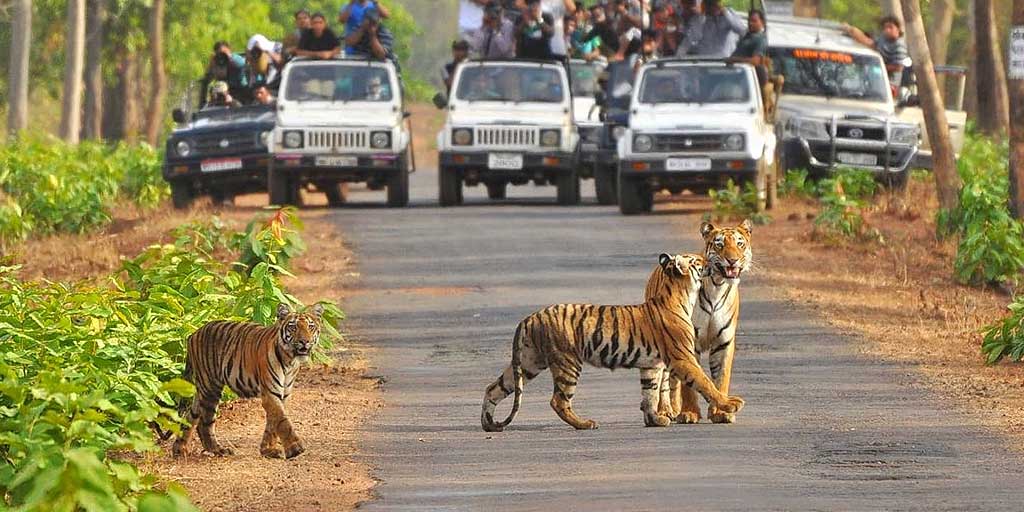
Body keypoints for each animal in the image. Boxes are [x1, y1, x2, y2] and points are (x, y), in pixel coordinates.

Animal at [171, 301, 323, 458]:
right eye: (293, 327)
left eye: (310, 327)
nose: (304, 341)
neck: (290, 361)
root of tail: (193, 334)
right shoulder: (270, 393)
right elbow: (282, 420)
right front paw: (295, 448)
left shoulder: (283, 394)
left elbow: (272, 422)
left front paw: (268, 449)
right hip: (210, 387)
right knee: (204, 422)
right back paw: (218, 449)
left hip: (203, 389)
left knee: (191, 416)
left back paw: (180, 449)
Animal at [479, 253, 745, 430]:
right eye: (698, 261)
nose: (712, 261)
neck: (681, 295)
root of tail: (529, 317)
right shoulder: (683, 358)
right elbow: (705, 382)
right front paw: (730, 404)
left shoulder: (652, 365)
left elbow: (650, 393)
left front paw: (654, 420)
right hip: (567, 362)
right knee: (558, 400)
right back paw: (585, 423)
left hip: (528, 362)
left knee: (493, 388)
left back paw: (488, 424)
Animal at [647, 220, 753, 423]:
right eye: (719, 244)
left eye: (740, 244)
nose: (733, 260)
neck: (718, 286)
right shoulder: (689, 342)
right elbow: (689, 384)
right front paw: (689, 413)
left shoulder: (724, 342)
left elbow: (721, 378)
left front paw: (721, 412)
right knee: (664, 380)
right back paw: (666, 410)